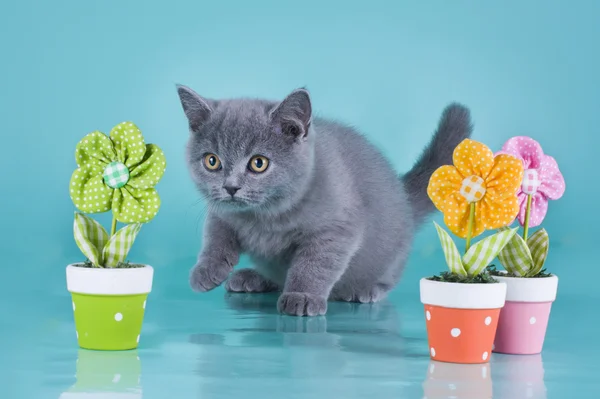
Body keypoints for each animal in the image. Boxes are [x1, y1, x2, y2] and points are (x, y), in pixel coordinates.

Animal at [176, 86, 472, 318]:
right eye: (212, 161)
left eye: (258, 163)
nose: (230, 187)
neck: (264, 215)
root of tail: (402, 193)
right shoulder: (220, 211)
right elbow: (216, 236)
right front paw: (207, 270)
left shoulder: (335, 229)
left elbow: (313, 264)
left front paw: (302, 296)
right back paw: (254, 277)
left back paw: (366, 289)